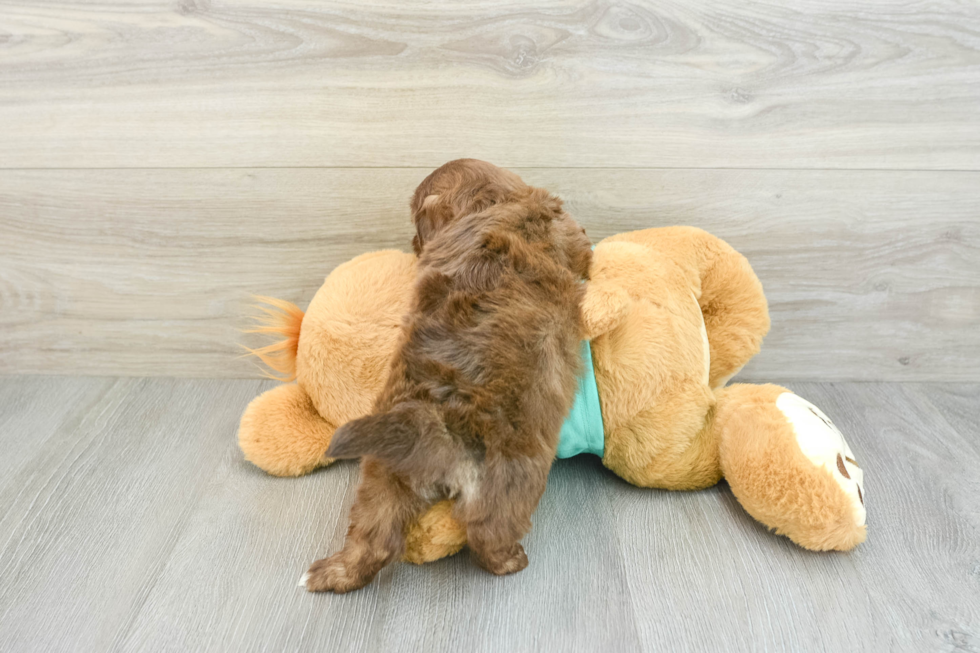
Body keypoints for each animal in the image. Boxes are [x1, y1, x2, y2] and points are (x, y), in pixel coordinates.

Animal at [304, 158, 588, 592]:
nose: (412, 242)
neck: (493, 202)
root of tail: (434, 423)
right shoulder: (566, 230)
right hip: (514, 476)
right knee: (489, 531)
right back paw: (511, 560)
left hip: (386, 476)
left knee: (374, 540)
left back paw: (330, 573)